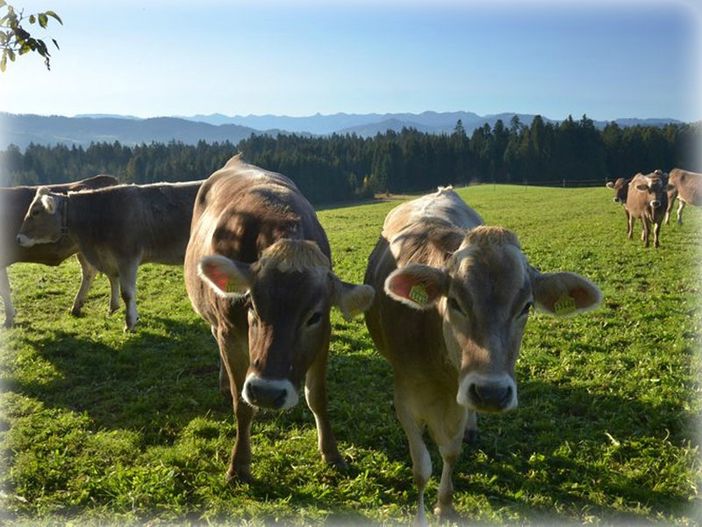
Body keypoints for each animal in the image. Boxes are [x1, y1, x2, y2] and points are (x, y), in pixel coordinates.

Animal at [15, 180, 204, 330]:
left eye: (36, 212)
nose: (18, 238)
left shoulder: (127, 258)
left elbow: (127, 293)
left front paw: (130, 323)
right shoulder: (107, 258)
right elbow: (112, 279)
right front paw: (113, 308)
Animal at [184, 155, 376, 484]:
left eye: (314, 316)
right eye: (252, 306)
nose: (266, 392)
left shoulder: (323, 335)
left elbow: (317, 397)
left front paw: (332, 453)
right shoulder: (230, 332)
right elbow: (241, 405)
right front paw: (239, 465)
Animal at [366, 186, 604, 524]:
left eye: (526, 306)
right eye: (454, 301)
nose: (491, 392)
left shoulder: (458, 398)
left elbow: (450, 451)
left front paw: (445, 504)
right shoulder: (405, 395)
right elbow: (421, 467)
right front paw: (423, 515)